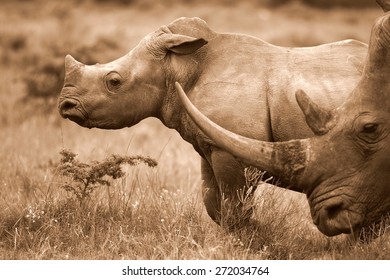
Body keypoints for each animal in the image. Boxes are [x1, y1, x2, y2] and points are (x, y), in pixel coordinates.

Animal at [175, 4, 390, 236]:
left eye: (369, 128)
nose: (328, 215)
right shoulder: (211, 142)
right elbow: (215, 198)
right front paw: (253, 230)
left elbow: (233, 199)